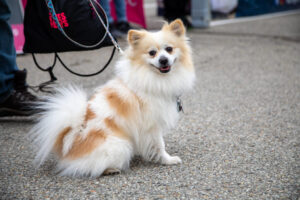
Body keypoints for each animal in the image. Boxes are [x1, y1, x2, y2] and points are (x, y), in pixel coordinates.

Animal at [29, 19, 195, 177]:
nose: (163, 60)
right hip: (119, 145)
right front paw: (168, 160)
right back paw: (110, 169)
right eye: (152, 53)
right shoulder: (152, 125)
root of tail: (70, 141)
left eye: (169, 49)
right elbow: (160, 145)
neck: (154, 77)